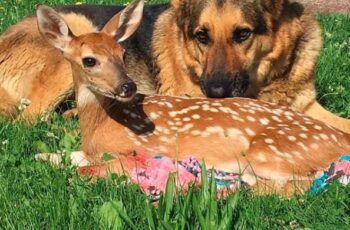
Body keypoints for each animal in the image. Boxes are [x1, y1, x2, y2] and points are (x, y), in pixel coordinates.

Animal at [0, 0, 350, 133]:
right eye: (201, 36)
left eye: (243, 34)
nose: (215, 92)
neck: (264, 82)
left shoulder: (306, 106)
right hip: (76, 33)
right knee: (27, 118)